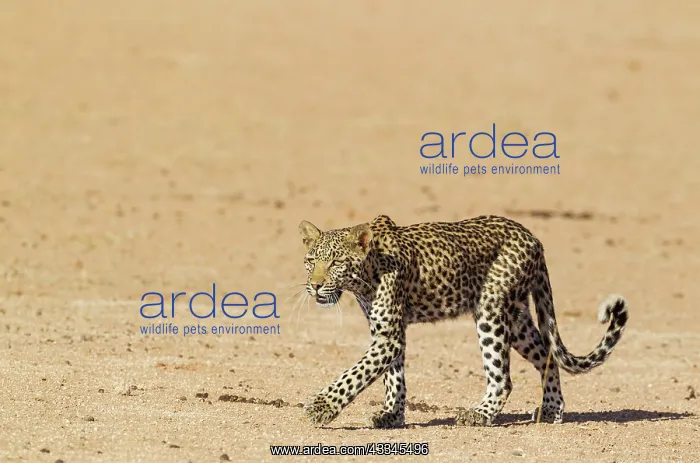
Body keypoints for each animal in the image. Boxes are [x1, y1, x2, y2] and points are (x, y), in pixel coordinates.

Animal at [297, 214, 629, 428]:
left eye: (336, 262)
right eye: (311, 261)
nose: (315, 286)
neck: (366, 274)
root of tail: (533, 238)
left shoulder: (389, 337)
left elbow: (355, 374)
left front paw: (321, 407)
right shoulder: (387, 332)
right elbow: (393, 377)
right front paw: (391, 416)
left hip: (491, 311)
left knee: (503, 377)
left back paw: (480, 414)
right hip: (517, 318)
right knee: (547, 355)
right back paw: (551, 411)